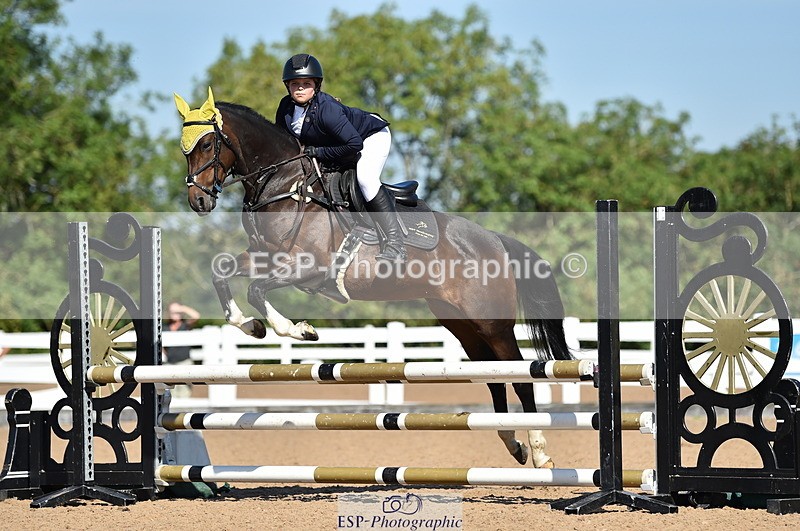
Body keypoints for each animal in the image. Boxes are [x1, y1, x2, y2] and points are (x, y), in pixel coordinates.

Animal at [173, 88, 572, 468]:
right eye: (184, 150)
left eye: (207, 144)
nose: (198, 201)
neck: (283, 185)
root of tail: (494, 240)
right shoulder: (262, 258)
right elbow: (222, 272)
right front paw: (252, 326)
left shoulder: (309, 267)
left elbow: (256, 290)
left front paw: (299, 330)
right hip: (461, 324)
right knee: (493, 376)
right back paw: (512, 442)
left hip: (492, 323)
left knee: (521, 377)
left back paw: (540, 452)